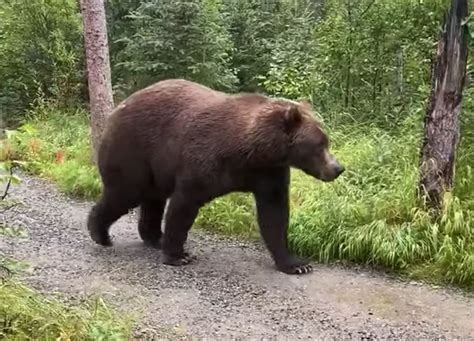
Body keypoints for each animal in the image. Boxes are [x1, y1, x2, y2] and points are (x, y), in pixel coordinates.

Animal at [86, 77, 344, 274]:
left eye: (326, 141)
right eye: (319, 145)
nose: (337, 168)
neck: (253, 151)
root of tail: (118, 108)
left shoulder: (269, 173)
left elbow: (274, 213)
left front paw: (296, 264)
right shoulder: (205, 162)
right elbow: (184, 205)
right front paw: (178, 255)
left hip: (156, 167)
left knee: (152, 199)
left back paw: (153, 237)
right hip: (133, 150)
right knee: (125, 193)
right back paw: (101, 234)